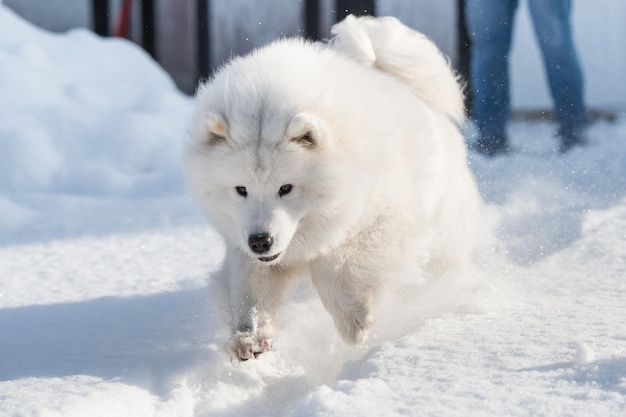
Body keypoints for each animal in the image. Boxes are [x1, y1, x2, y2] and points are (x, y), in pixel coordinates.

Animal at [183, 15, 480, 360]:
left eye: (286, 188)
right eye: (240, 189)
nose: (260, 241)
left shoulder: (380, 219)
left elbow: (338, 266)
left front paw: (354, 321)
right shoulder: (243, 245)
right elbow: (250, 292)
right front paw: (250, 339)